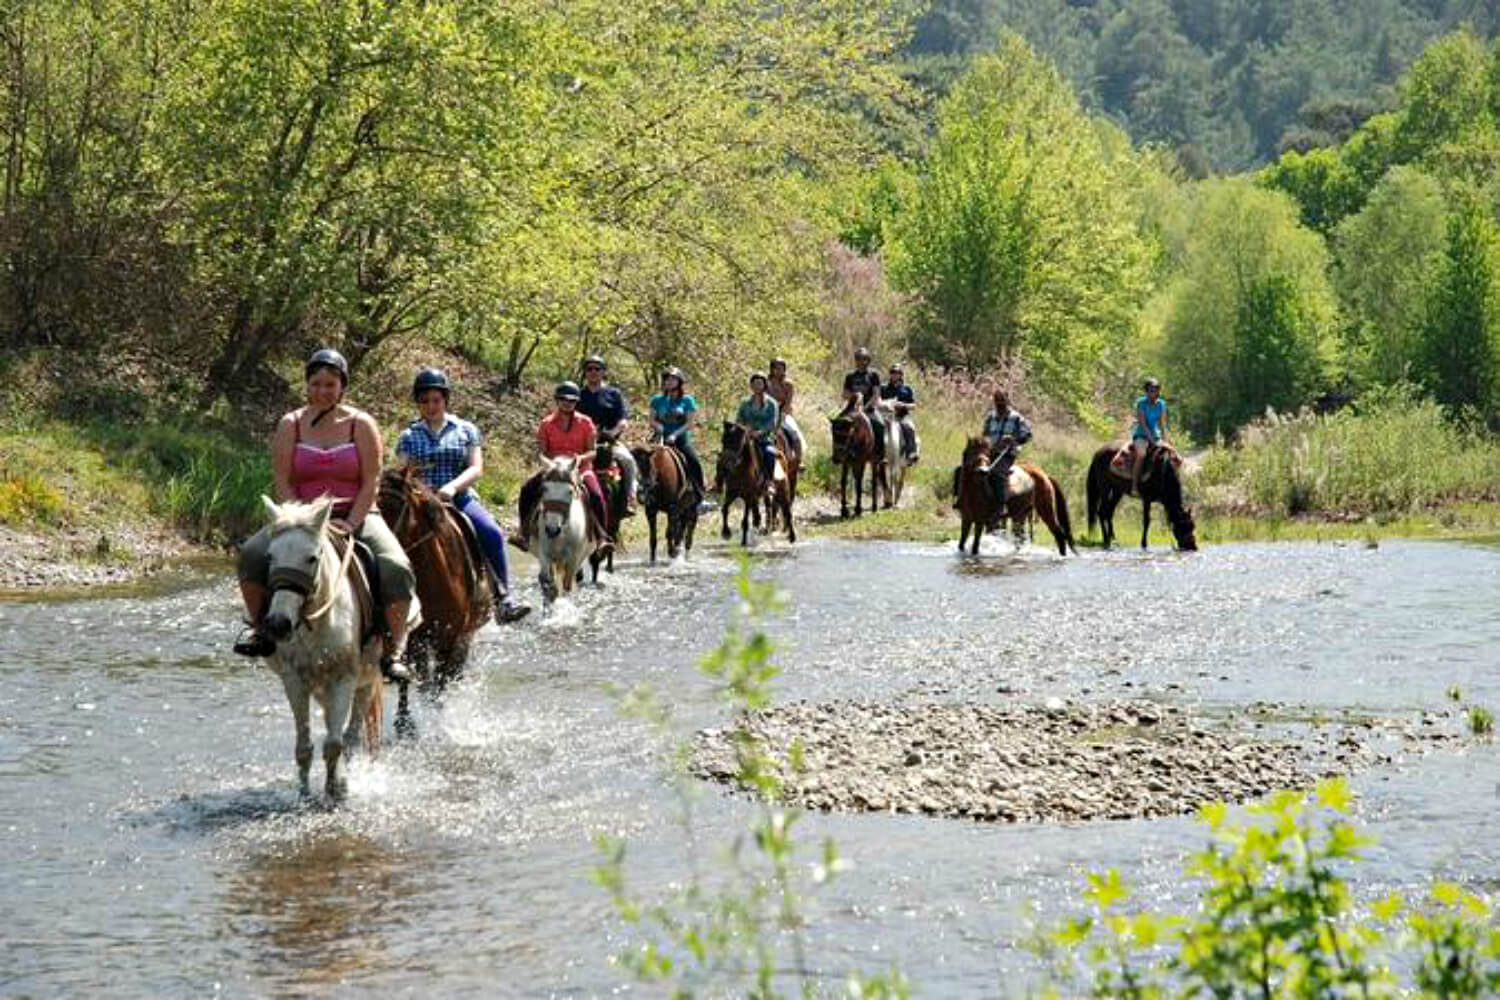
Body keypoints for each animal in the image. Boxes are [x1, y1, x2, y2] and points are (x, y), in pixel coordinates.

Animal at [262, 497, 393, 803]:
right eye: (271, 557)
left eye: (311, 558)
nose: (279, 623)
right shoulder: (294, 680)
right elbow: (304, 747)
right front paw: (304, 794)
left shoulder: (344, 678)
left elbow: (335, 743)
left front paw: (335, 790)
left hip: (366, 679)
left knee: (352, 734)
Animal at [531, 458, 594, 605]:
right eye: (544, 488)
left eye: (570, 491)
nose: (552, 529)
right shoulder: (544, 553)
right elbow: (548, 582)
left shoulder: (574, 557)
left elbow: (567, 585)